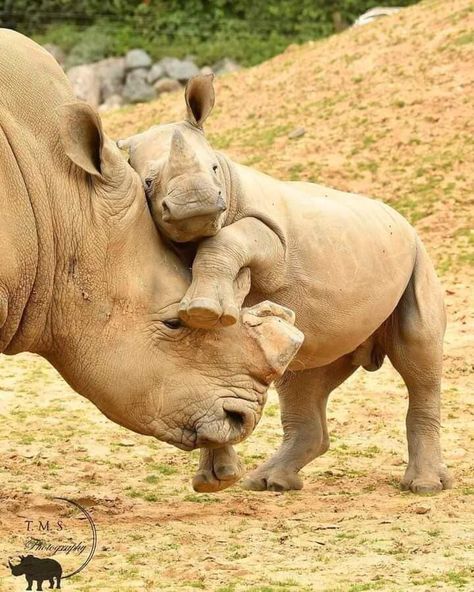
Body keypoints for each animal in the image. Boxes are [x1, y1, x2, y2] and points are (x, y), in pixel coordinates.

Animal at [117, 75, 452, 494]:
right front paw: (214, 479)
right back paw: (268, 482)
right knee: (303, 374)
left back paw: (424, 486)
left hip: (417, 254)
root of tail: (400, 218)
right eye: (147, 181)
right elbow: (211, 359)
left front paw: (205, 310)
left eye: (214, 168)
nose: (197, 205)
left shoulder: (272, 237)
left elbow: (225, 241)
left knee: (418, 354)